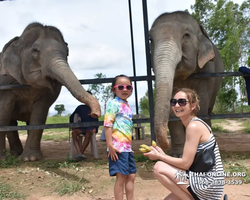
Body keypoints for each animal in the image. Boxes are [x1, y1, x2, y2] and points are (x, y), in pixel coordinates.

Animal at [0, 22, 101, 162]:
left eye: (67, 52)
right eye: (35, 51)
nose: (95, 113)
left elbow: (39, 116)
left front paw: (31, 159)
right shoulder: (6, 83)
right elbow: (3, 114)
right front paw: (5, 159)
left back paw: (19, 153)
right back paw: (15, 154)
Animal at [148, 10, 225, 156]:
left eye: (186, 35)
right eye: (150, 40)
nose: (163, 145)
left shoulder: (207, 72)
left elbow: (201, 106)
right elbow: (173, 111)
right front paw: (178, 154)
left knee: (208, 109)